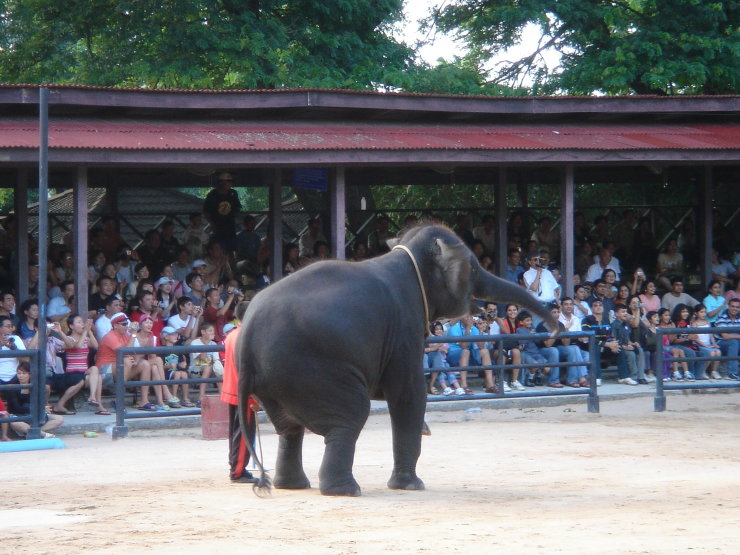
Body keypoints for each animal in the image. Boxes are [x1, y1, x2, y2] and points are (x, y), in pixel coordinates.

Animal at [240, 224, 556, 498]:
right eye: (475, 267)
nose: (554, 330)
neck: (406, 255)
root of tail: (246, 333)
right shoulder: (404, 326)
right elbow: (408, 393)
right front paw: (412, 485)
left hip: (280, 380)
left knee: (289, 428)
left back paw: (293, 485)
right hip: (311, 369)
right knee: (351, 416)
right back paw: (346, 490)